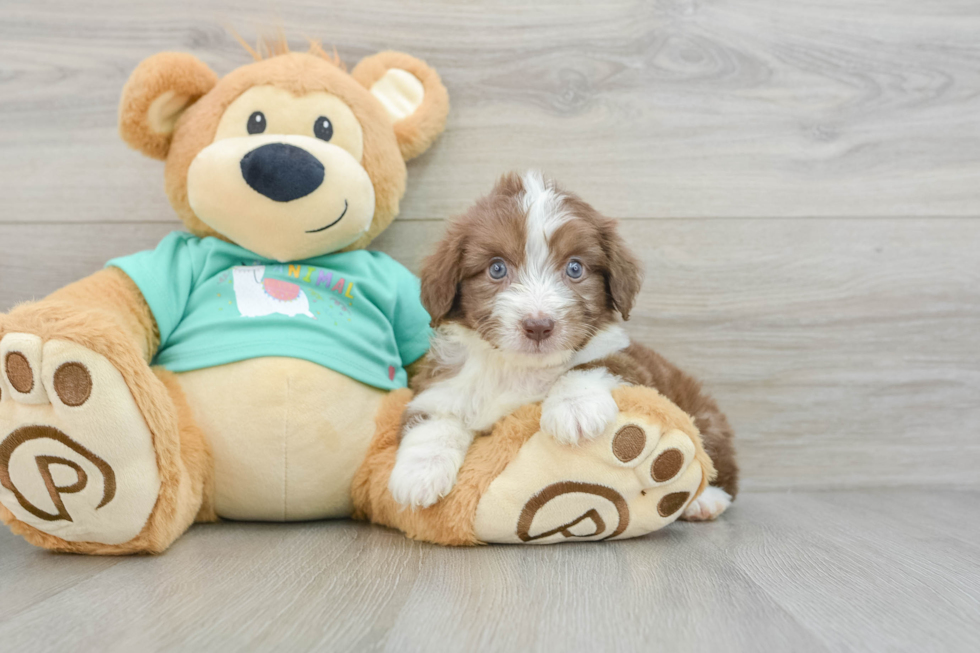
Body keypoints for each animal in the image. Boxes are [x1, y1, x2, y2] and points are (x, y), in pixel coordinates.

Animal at [386, 171, 740, 516]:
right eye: (496, 268)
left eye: (575, 268)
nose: (538, 326)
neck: (519, 368)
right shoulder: (444, 383)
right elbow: (433, 418)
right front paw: (420, 473)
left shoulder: (631, 365)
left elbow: (592, 365)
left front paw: (574, 407)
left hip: (704, 414)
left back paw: (707, 499)